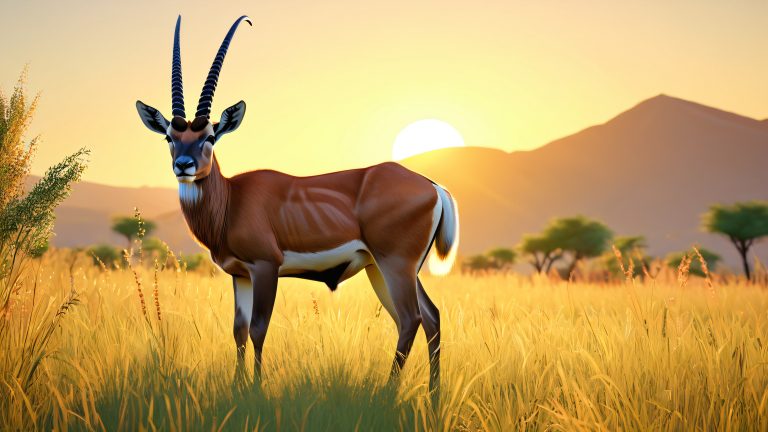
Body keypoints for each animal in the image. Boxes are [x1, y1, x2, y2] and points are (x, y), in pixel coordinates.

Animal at [135, 16, 458, 393]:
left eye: (210, 137)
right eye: (170, 137)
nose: (184, 166)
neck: (231, 200)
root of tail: (433, 186)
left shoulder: (264, 267)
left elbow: (258, 329)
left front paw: (256, 391)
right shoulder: (240, 275)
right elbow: (238, 330)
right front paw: (238, 388)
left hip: (395, 266)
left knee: (411, 318)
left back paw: (388, 393)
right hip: (383, 268)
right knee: (430, 317)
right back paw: (433, 395)